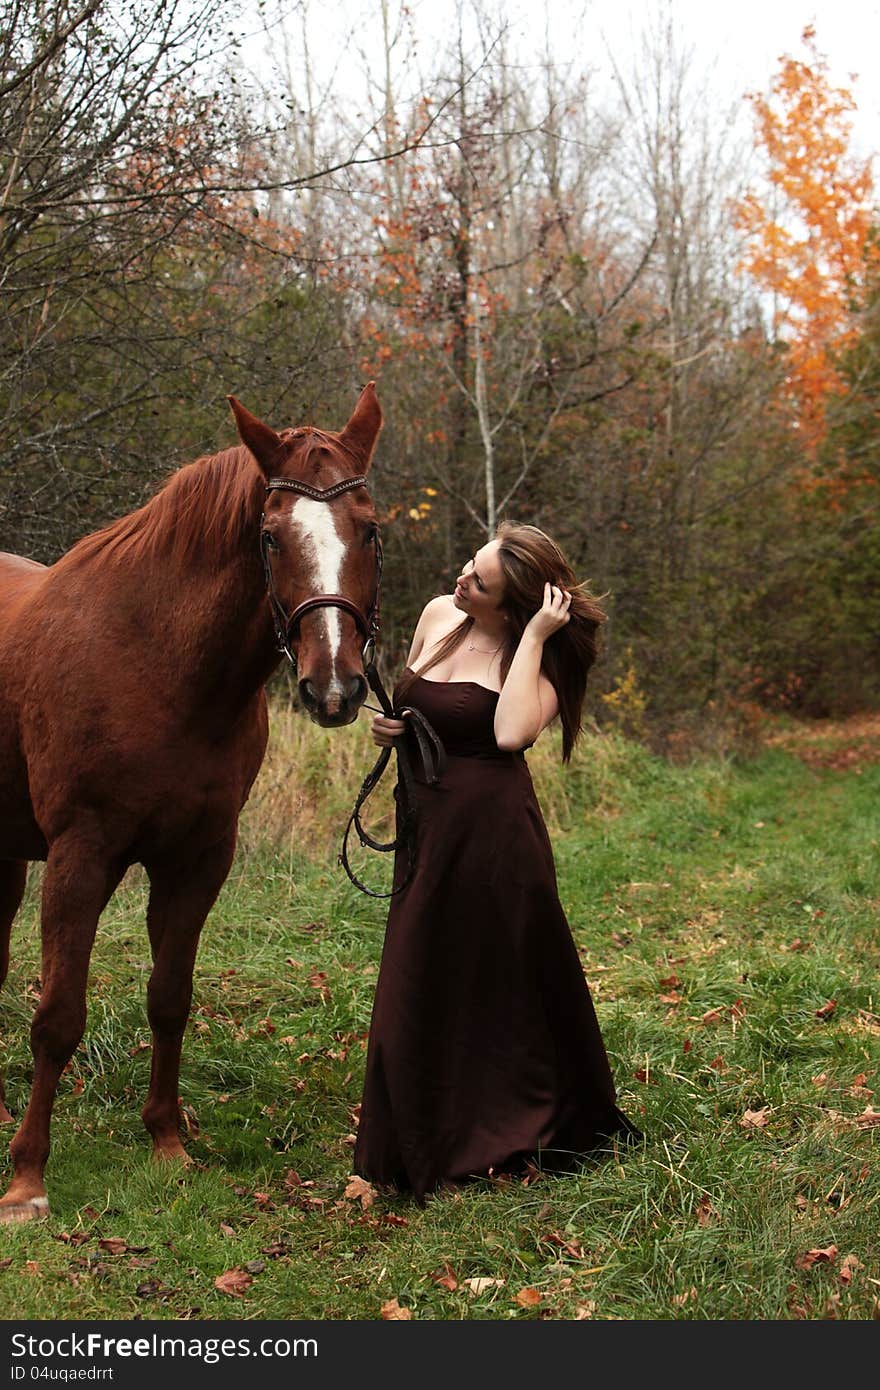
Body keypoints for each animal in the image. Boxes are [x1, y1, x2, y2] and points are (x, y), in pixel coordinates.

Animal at [0, 386, 380, 1223]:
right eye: (270, 537)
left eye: (369, 528)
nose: (333, 686)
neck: (155, 662)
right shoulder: (80, 855)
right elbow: (57, 1016)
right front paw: (27, 1179)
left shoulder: (199, 858)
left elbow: (170, 999)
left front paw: (168, 1144)